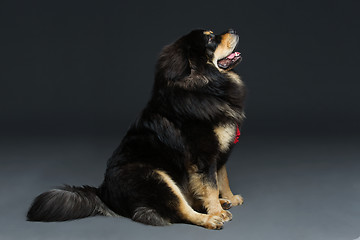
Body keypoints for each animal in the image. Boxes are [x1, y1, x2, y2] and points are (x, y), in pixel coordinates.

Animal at [27, 29, 248, 230]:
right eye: (210, 39)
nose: (233, 29)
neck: (205, 86)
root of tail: (103, 192)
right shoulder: (203, 156)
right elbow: (210, 187)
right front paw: (217, 211)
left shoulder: (220, 153)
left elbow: (222, 179)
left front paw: (229, 197)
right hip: (156, 178)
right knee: (181, 210)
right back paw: (210, 219)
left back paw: (222, 203)